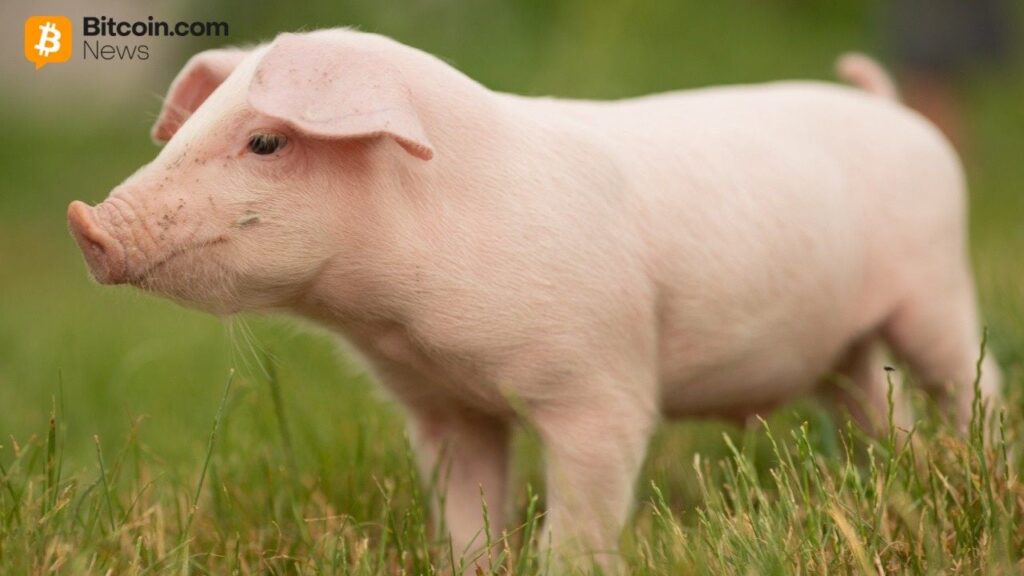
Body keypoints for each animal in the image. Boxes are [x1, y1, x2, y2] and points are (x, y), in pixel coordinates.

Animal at [68, 30, 1000, 569]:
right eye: (185, 132)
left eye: (265, 141)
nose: (88, 223)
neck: (402, 324)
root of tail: (889, 107)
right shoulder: (443, 408)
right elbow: (466, 509)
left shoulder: (600, 384)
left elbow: (585, 507)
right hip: (845, 348)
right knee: (875, 403)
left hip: (936, 286)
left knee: (973, 383)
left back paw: (980, 465)